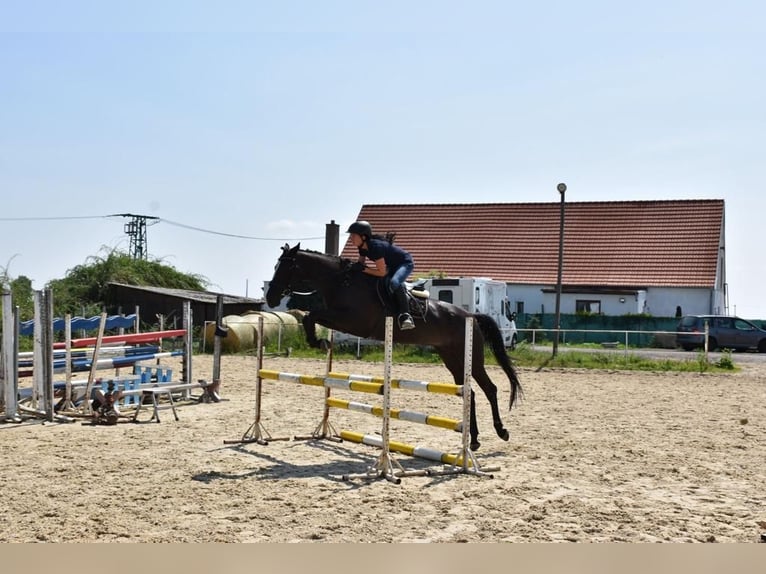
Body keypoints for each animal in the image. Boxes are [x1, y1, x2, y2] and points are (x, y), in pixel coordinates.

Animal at [264, 243, 520, 450]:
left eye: (285, 267)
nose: (271, 298)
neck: (342, 282)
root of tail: (471, 315)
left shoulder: (355, 322)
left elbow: (312, 315)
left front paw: (320, 341)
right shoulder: (339, 318)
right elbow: (311, 317)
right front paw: (319, 341)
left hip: (471, 357)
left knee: (489, 389)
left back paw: (502, 431)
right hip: (451, 358)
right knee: (470, 392)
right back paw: (474, 440)